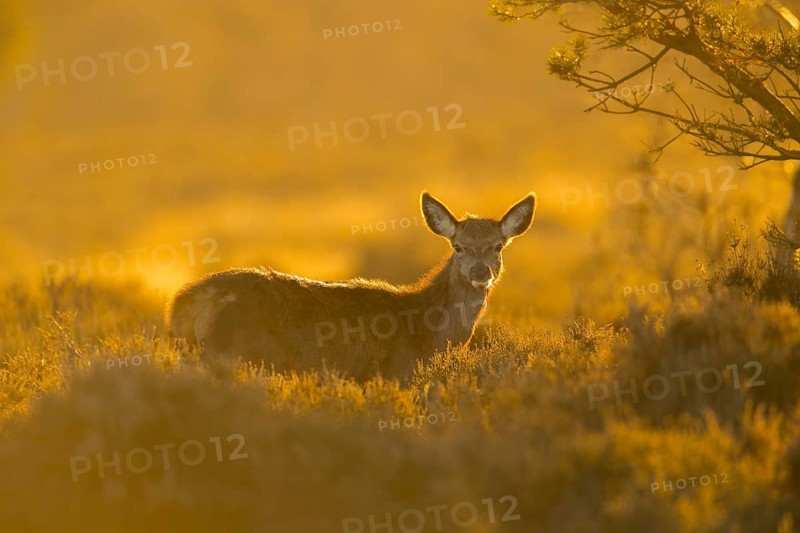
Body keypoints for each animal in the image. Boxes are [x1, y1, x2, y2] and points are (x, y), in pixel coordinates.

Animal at [165, 191, 536, 381]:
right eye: (457, 246)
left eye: (498, 246)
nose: (480, 270)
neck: (428, 334)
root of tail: (182, 307)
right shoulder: (393, 373)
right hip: (243, 355)